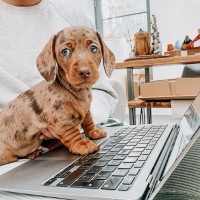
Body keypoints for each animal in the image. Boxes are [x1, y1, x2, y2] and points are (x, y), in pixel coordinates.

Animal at [0, 25, 115, 165]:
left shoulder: (86, 110)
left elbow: (88, 121)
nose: (84, 72)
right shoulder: (62, 119)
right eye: (65, 51)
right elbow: (72, 133)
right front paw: (82, 144)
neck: (76, 91)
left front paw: (93, 131)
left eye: (94, 48)